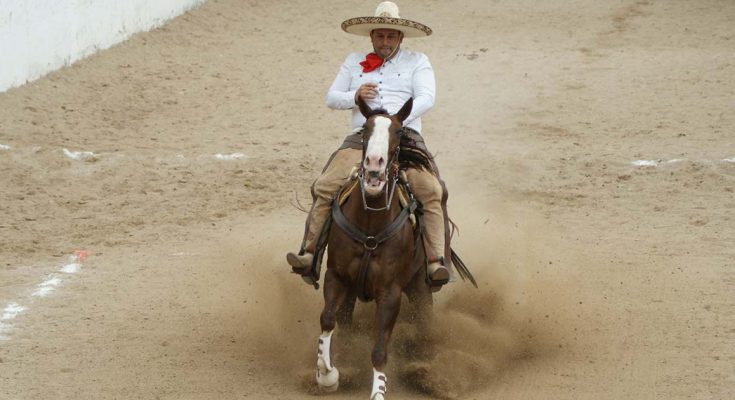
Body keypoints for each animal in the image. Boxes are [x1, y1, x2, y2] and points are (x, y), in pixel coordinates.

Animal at [312, 97, 436, 400]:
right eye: (366, 129)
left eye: (399, 132)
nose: (374, 163)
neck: (370, 225)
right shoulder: (336, 276)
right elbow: (328, 319)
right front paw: (327, 375)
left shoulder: (390, 293)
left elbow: (380, 349)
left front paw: (378, 391)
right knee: (343, 320)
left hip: (420, 286)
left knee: (426, 326)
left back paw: (426, 372)